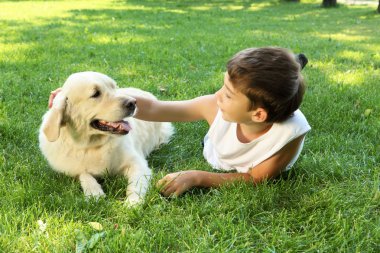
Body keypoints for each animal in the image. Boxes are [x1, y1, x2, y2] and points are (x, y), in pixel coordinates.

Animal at [39, 70, 174, 205]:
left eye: (114, 87)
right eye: (95, 94)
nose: (133, 103)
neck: (92, 145)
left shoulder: (137, 164)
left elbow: (136, 185)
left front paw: (132, 203)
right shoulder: (74, 169)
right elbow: (85, 175)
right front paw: (94, 193)